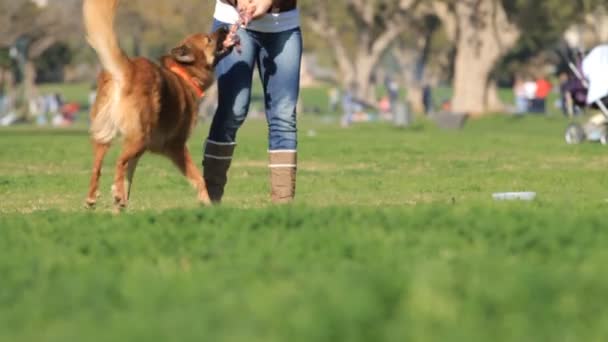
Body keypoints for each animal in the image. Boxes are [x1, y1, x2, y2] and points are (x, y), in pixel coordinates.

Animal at [81, 0, 233, 210]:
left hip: (105, 136)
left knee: (97, 167)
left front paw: (120, 207)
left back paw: (93, 198)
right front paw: (208, 202)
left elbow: (128, 180)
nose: (226, 27)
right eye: (208, 39)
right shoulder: (176, 146)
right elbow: (199, 179)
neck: (184, 75)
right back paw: (115, 194)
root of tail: (127, 69)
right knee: (119, 161)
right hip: (140, 137)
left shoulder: (139, 153)